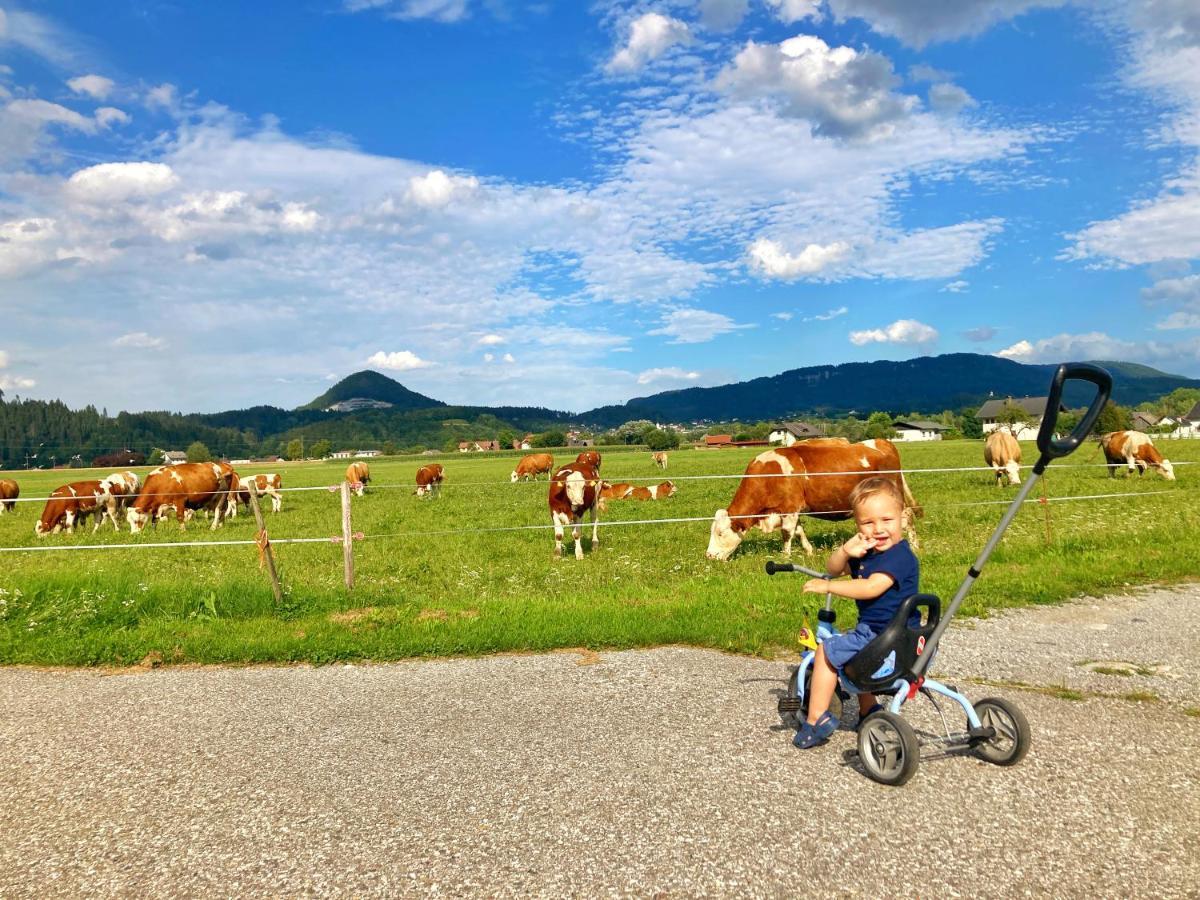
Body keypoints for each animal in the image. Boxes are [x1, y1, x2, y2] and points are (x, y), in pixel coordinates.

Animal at [700, 439, 916, 561]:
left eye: (720, 533)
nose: (709, 556)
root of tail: (883, 442)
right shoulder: (791, 510)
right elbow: (799, 531)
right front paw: (809, 551)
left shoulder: (790, 507)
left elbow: (787, 533)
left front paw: (785, 557)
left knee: (907, 517)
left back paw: (915, 547)